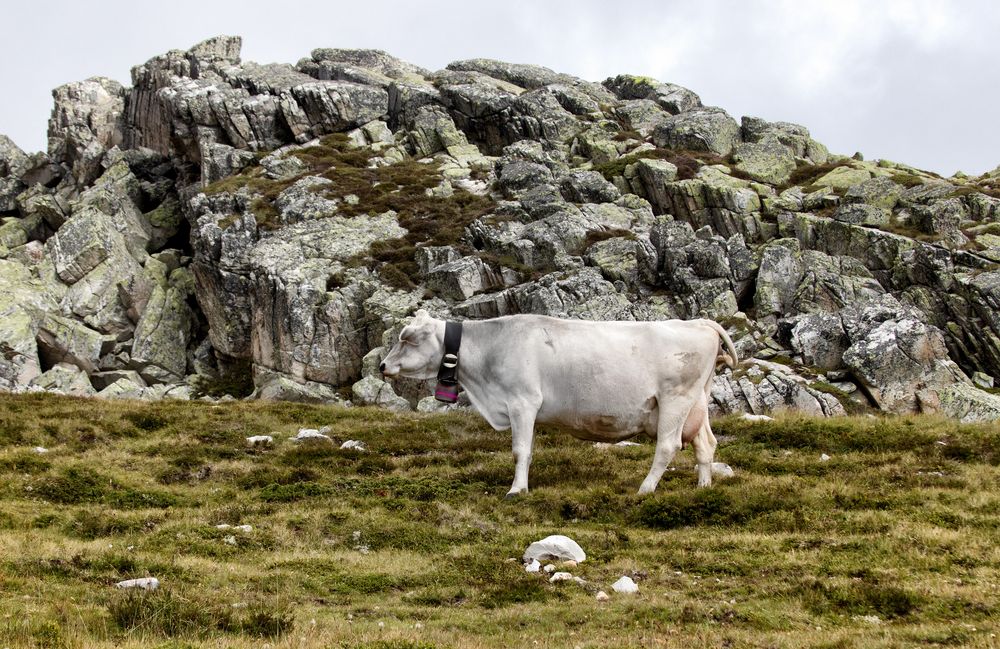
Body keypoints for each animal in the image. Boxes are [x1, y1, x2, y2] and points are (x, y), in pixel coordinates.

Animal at [380, 310, 736, 496]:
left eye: (408, 338)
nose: (382, 365)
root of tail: (697, 322)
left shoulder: (522, 402)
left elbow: (520, 451)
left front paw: (517, 490)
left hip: (675, 399)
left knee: (667, 445)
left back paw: (645, 489)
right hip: (696, 404)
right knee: (706, 444)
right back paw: (703, 487)